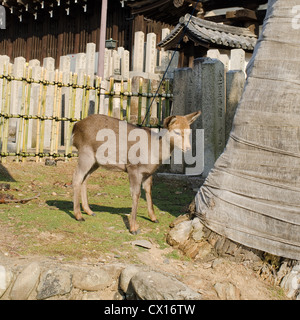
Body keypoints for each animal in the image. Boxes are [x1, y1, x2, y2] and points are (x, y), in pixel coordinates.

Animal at [71, 111, 200, 234]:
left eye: (189, 132)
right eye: (177, 132)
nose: (188, 148)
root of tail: (75, 127)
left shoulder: (148, 172)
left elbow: (148, 190)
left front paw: (154, 218)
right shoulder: (133, 167)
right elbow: (136, 194)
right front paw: (133, 228)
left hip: (95, 161)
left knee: (85, 179)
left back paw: (89, 211)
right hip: (86, 153)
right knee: (77, 177)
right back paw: (79, 215)